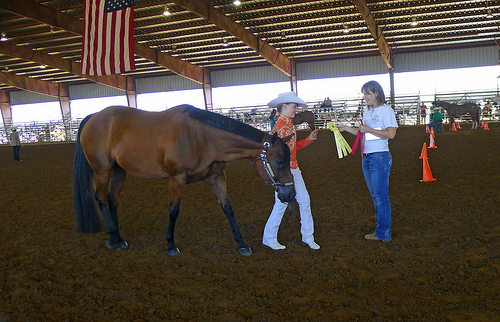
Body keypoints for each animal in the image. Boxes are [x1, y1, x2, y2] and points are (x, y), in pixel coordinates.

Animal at [72, 105, 294, 256]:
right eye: (280, 161)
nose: (290, 193)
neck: (202, 137)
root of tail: (93, 117)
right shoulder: (176, 178)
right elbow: (173, 210)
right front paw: (171, 245)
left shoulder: (216, 177)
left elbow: (228, 208)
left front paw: (242, 243)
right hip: (102, 170)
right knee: (100, 198)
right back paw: (111, 237)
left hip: (119, 171)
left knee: (112, 200)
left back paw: (119, 239)